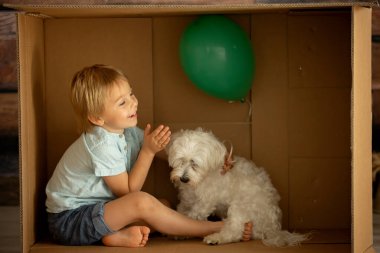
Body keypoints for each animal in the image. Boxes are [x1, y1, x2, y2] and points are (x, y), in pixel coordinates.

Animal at [166, 127, 308, 246]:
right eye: (181, 160)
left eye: (195, 164)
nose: (183, 179)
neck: (201, 180)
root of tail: (273, 229)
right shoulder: (187, 200)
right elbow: (181, 212)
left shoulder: (204, 203)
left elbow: (190, 218)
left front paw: (180, 232)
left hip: (241, 206)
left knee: (235, 230)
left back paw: (216, 238)